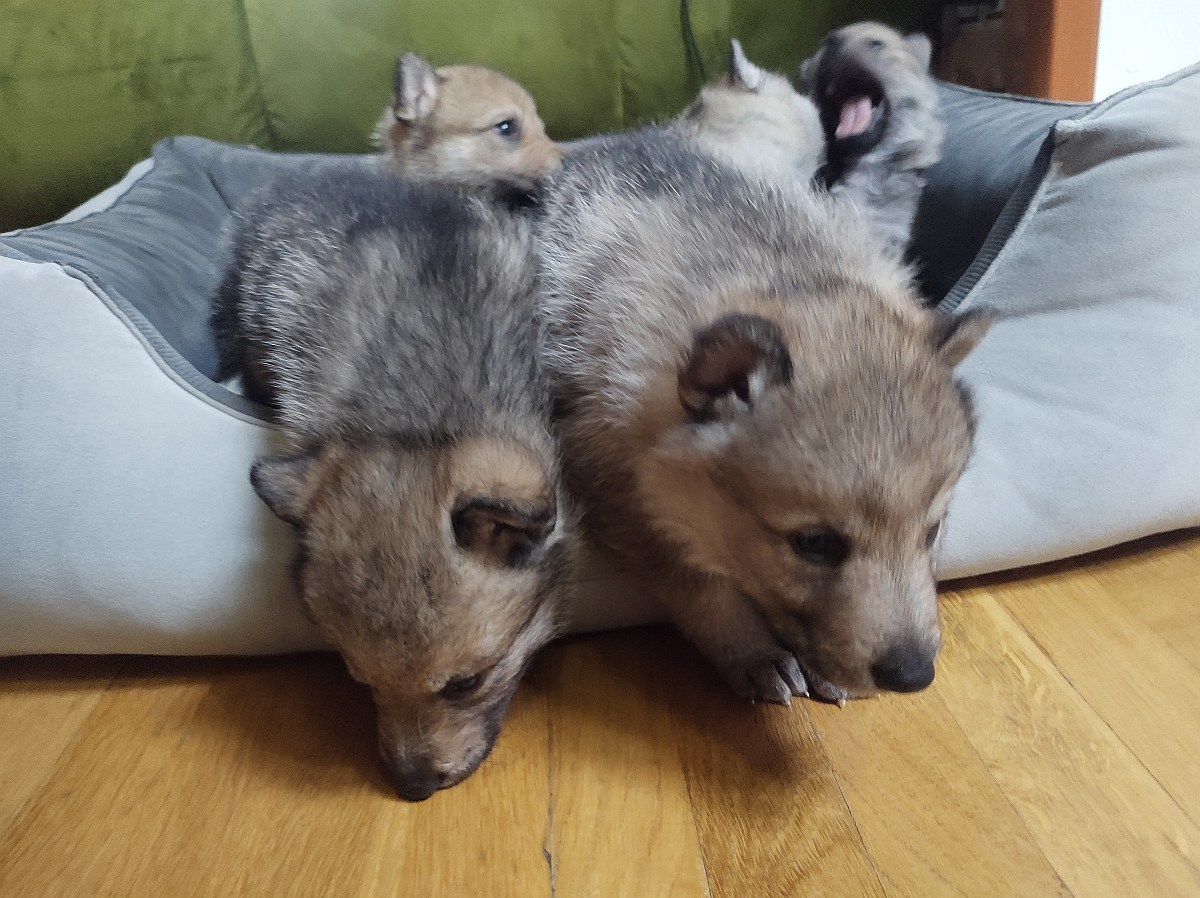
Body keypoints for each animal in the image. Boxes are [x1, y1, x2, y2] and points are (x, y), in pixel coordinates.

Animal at [537, 130, 989, 706]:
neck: (784, 278)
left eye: (931, 532)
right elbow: (704, 588)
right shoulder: (623, 500)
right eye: (815, 543)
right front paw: (754, 653)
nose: (913, 675)